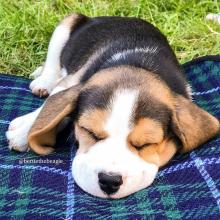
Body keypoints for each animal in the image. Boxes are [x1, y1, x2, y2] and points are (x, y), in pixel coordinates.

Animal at [5, 14, 220, 199]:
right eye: (89, 132)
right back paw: (43, 80)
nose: (109, 181)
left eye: (146, 144)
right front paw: (23, 132)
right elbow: (54, 101)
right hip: (68, 23)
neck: (138, 65)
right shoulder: (73, 81)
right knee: (53, 65)